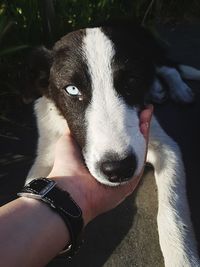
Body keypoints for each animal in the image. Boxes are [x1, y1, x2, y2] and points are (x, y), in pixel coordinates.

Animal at [25, 22, 200, 266]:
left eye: (132, 81)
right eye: (72, 89)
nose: (118, 169)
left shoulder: (166, 146)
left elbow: (172, 211)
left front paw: (182, 258)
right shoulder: (47, 152)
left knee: (168, 67)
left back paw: (178, 89)